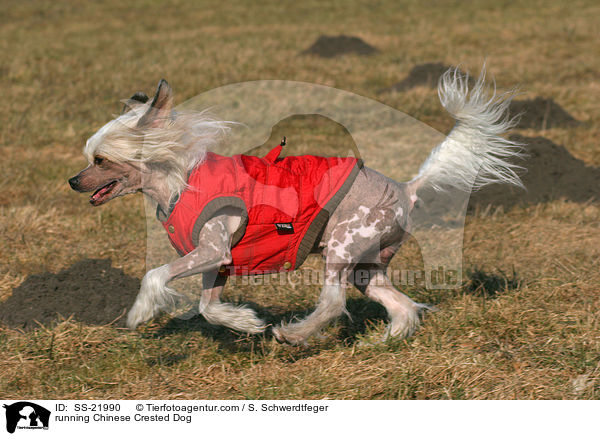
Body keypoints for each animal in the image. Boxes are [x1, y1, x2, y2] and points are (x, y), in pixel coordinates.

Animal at [68, 67, 524, 344]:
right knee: (401, 304)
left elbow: (155, 275)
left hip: (343, 244)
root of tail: (406, 187)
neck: (179, 180)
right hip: (367, 265)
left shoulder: (212, 249)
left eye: (100, 160)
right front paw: (246, 323)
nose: (72, 180)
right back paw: (386, 342)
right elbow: (207, 307)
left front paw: (139, 313)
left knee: (334, 302)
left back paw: (296, 334)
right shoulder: (219, 262)